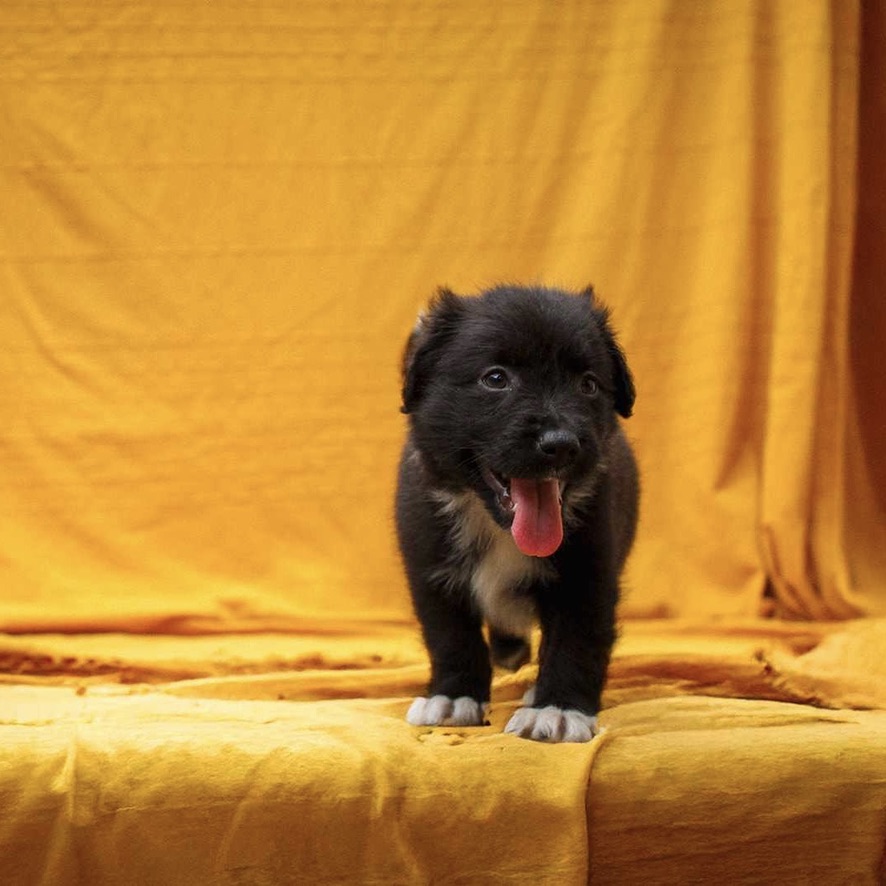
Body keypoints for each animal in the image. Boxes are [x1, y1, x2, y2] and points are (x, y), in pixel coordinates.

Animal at [396, 284, 640, 744]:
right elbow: (450, 635)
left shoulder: (589, 573)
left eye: (588, 384)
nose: (561, 443)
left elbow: (577, 640)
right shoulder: (431, 568)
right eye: (495, 378)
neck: (498, 530)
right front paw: (453, 698)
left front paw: (558, 709)